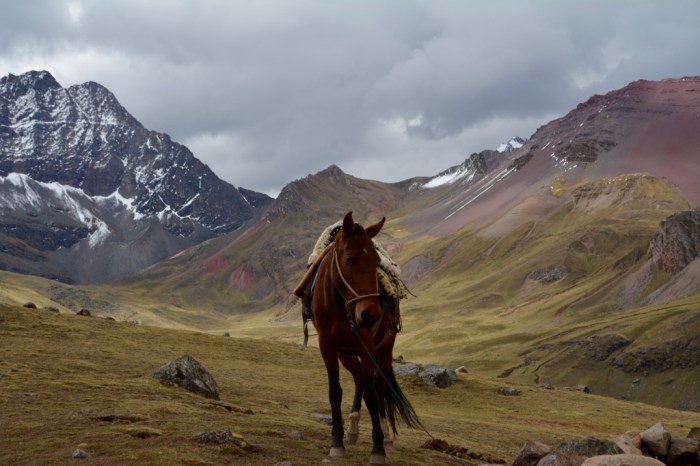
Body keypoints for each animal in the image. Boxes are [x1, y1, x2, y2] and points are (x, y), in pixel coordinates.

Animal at [309, 211, 419, 465]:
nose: (371, 314)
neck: (339, 306)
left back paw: (385, 436)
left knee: (378, 386)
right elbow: (335, 392)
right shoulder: (327, 346)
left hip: (384, 349)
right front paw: (337, 443)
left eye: (376, 261)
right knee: (359, 379)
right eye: (350, 259)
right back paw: (352, 430)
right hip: (346, 353)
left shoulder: (365, 344)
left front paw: (377, 449)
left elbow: (372, 394)